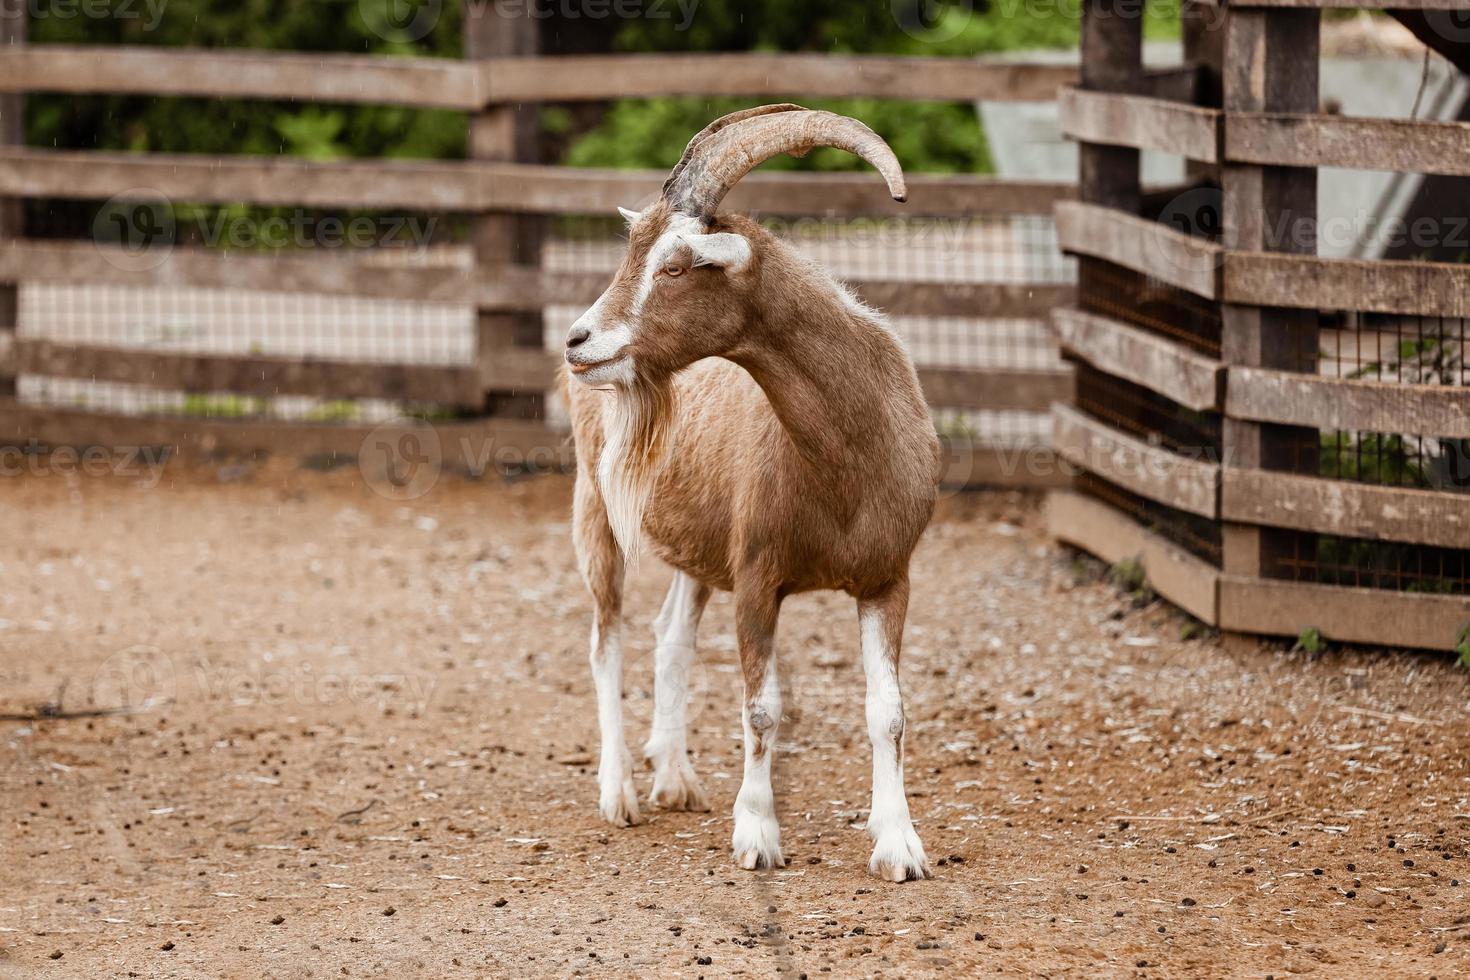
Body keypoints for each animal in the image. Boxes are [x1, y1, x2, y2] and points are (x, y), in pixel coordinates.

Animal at [561, 105, 940, 881]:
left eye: (675, 266)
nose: (580, 341)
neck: (847, 463)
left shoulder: (888, 576)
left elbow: (888, 710)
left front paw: (898, 844)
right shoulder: (758, 577)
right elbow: (760, 708)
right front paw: (758, 836)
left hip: (696, 544)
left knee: (670, 634)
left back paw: (675, 776)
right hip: (596, 508)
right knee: (606, 638)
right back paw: (620, 793)